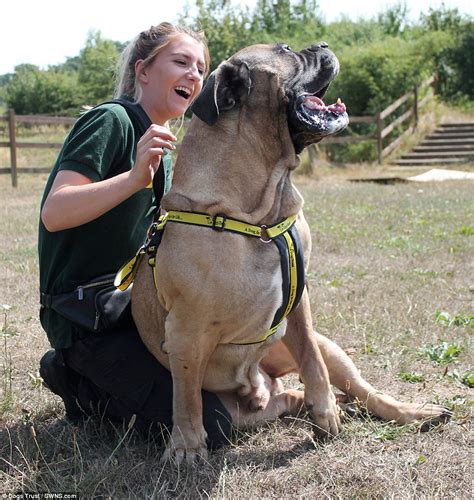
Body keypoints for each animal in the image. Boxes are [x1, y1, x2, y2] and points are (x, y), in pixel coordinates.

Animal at [131, 43, 450, 464]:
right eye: (286, 51)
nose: (323, 45)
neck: (259, 212)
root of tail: (264, 386)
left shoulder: (302, 306)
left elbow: (312, 361)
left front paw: (326, 410)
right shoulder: (186, 329)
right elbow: (185, 398)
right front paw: (186, 446)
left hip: (332, 349)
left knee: (360, 389)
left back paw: (408, 411)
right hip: (242, 407)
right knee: (286, 400)